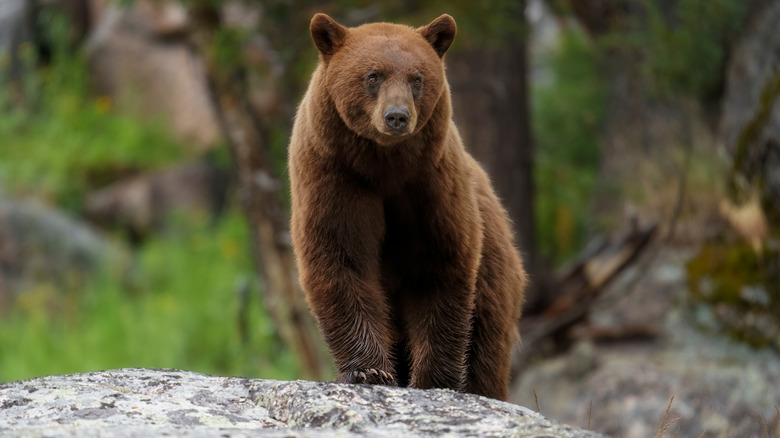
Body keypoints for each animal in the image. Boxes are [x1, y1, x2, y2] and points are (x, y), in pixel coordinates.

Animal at [290, 12, 528, 402]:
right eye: (373, 76)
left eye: (417, 78)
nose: (397, 116)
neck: (384, 165)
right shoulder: (335, 177)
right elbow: (341, 258)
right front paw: (368, 370)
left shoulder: (431, 185)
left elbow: (440, 265)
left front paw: (434, 379)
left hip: (496, 274)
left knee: (487, 348)